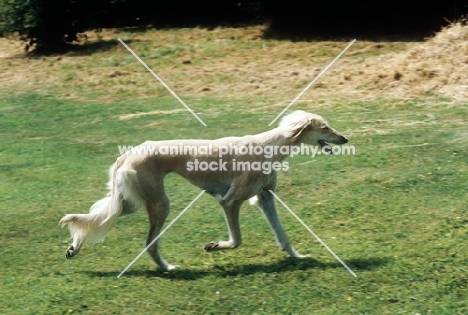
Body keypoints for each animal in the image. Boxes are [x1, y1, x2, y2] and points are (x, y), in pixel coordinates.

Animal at [59, 111, 348, 272]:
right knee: (149, 243)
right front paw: (215, 246)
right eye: (324, 127)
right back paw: (167, 267)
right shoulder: (230, 201)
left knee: (100, 217)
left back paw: (75, 246)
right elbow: (237, 240)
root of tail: (127, 155)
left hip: (130, 202)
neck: (270, 145)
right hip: (160, 203)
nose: (345, 139)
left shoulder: (265, 198)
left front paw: (298, 256)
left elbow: (282, 236)